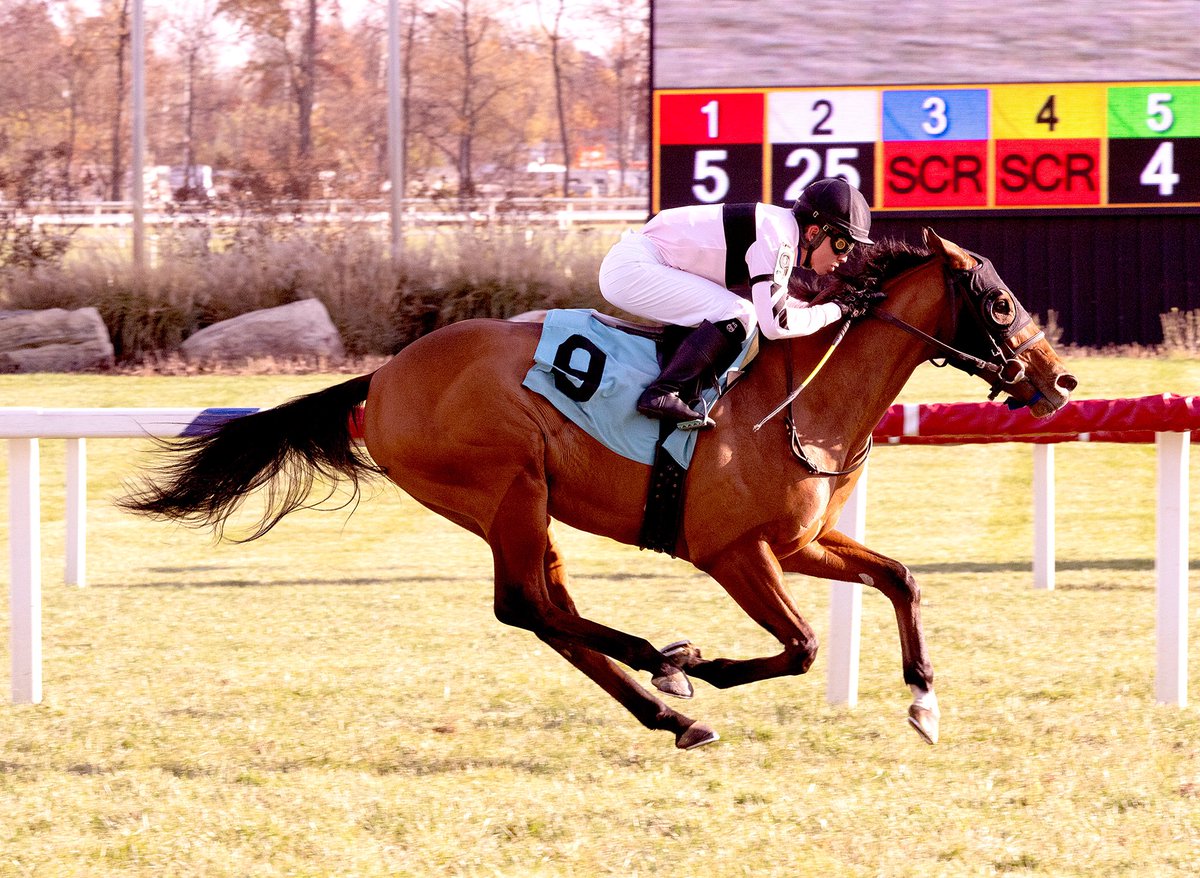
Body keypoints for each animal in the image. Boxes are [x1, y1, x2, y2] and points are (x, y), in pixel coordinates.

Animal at [121, 230, 1080, 753]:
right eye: (997, 303)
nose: (1061, 380)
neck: (802, 395)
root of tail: (382, 378)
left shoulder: (800, 542)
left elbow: (901, 579)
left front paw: (923, 700)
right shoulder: (733, 553)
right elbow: (804, 645)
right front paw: (714, 665)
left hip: (524, 508)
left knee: (548, 613)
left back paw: (667, 710)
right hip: (508, 486)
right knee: (526, 607)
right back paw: (670, 666)